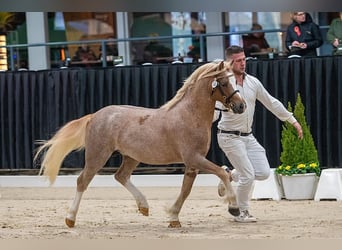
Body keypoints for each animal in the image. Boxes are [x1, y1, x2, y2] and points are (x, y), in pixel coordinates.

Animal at [34, 60, 246, 229]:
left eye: (236, 80)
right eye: (224, 82)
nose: (241, 106)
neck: (189, 115)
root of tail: (94, 116)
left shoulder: (192, 163)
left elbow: (189, 188)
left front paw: (173, 217)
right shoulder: (194, 158)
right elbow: (221, 173)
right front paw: (234, 207)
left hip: (131, 157)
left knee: (120, 176)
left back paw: (144, 206)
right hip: (97, 156)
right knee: (82, 181)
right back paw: (70, 219)